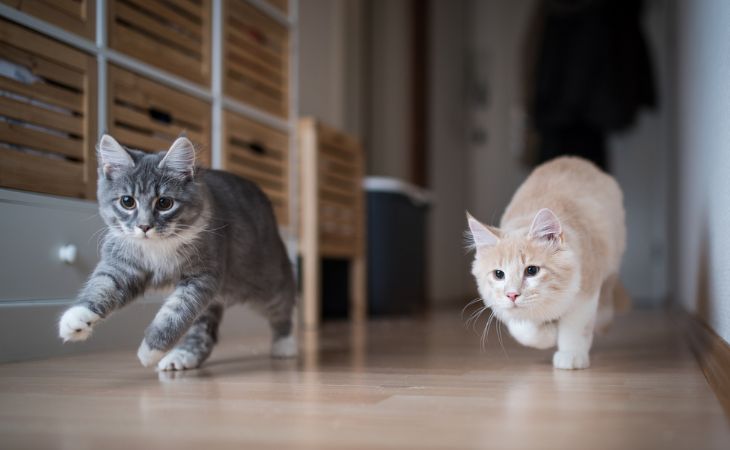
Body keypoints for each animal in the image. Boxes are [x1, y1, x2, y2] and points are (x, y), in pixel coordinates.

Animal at [57, 133, 296, 370]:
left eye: (164, 203)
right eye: (127, 201)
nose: (144, 226)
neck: (157, 247)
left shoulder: (202, 277)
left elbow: (175, 313)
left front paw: (151, 350)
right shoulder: (123, 265)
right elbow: (103, 285)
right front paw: (76, 318)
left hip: (263, 280)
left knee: (284, 302)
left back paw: (285, 344)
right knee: (203, 332)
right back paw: (183, 356)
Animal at [466, 157, 624, 370]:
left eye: (532, 270)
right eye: (499, 274)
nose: (512, 295)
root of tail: (573, 159)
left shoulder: (586, 289)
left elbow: (575, 327)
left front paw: (570, 354)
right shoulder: (499, 305)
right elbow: (523, 329)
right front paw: (548, 334)